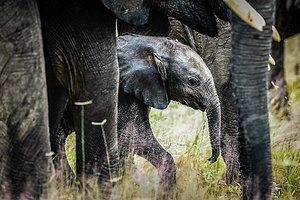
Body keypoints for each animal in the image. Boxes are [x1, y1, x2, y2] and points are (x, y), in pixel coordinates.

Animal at [116, 34, 220, 194]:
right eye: (193, 81)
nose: (210, 159)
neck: (152, 44)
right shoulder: (123, 92)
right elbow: (134, 136)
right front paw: (165, 193)